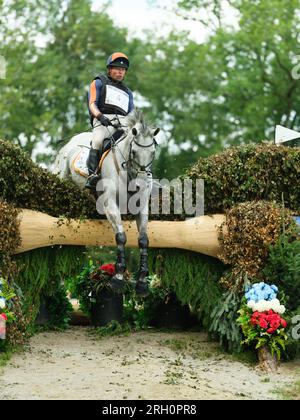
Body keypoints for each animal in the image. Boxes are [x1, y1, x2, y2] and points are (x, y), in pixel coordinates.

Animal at [53, 110, 159, 296]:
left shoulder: (142, 208)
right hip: (62, 176)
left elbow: (143, 240)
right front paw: (118, 277)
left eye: (153, 153)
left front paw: (142, 283)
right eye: (134, 152)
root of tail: (68, 145)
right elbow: (121, 237)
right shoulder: (110, 204)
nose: (141, 183)